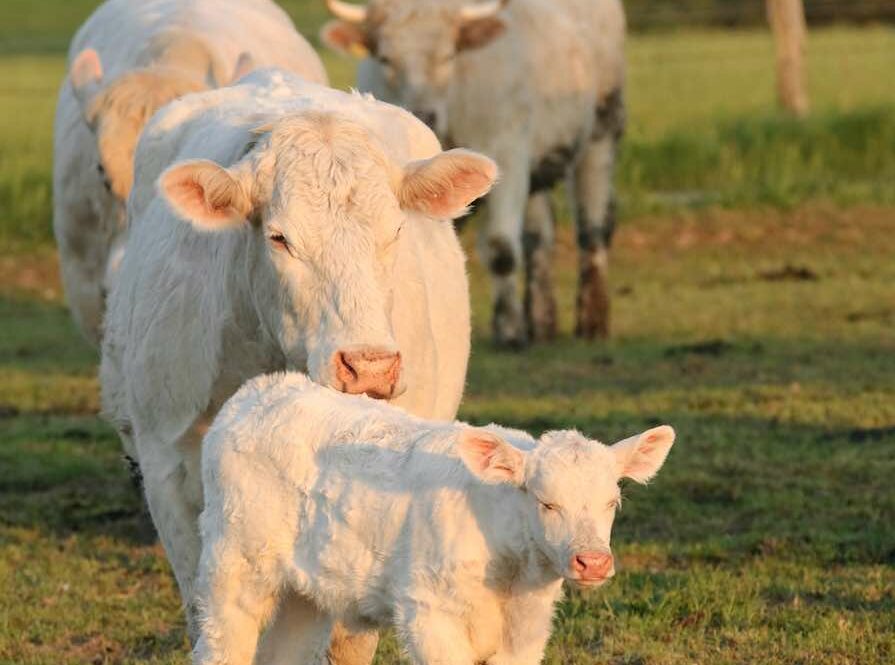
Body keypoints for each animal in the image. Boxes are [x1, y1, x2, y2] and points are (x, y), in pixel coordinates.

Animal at [194, 368, 672, 664]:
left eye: (612, 502)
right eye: (546, 502)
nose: (593, 562)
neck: (509, 573)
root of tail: (262, 389)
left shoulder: (528, 628)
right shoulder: (429, 615)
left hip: (305, 590)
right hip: (234, 564)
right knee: (221, 643)